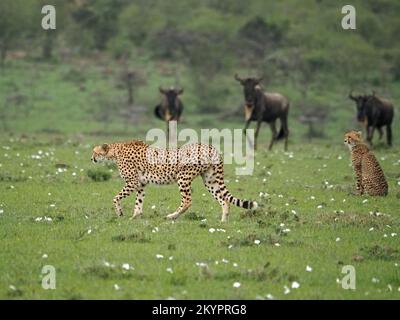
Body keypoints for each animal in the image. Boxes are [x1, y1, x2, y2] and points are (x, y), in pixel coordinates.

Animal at [91, 141, 258, 221]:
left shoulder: (132, 183)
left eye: (95, 152)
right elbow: (139, 202)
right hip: (210, 180)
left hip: (183, 177)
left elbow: (115, 198)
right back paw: (223, 221)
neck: (115, 151)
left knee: (187, 201)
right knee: (224, 200)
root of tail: (211, 147)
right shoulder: (141, 184)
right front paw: (135, 216)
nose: (91, 158)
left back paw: (172, 216)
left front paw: (120, 212)